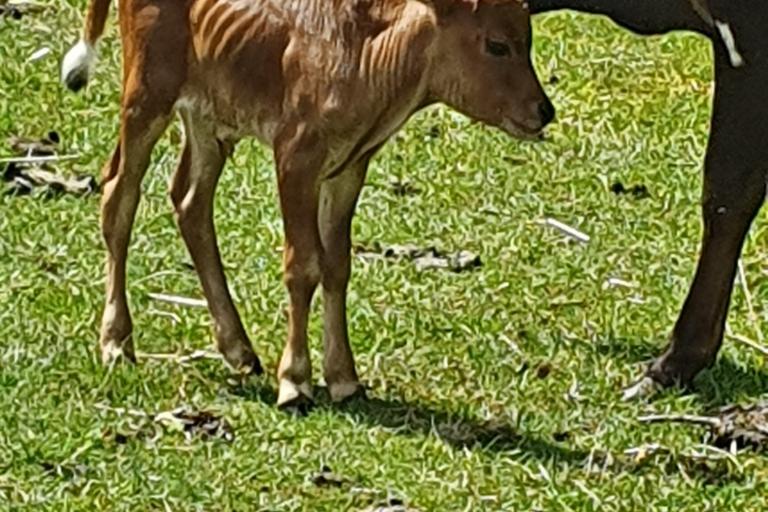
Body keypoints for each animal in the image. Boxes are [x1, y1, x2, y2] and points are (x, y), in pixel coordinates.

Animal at [61, 0, 552, 408]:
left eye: (527, 37)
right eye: (497, 44)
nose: (543, 110)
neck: (365, 57)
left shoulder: (349, 167)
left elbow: (337, 265)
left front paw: (344, 379)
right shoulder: (295, 157)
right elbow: (302, 266)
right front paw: (295, 381)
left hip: (207, 116)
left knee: (190, 201)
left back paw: (238, 348)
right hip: (147, 90)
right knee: (119, 194)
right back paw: (116, 342)